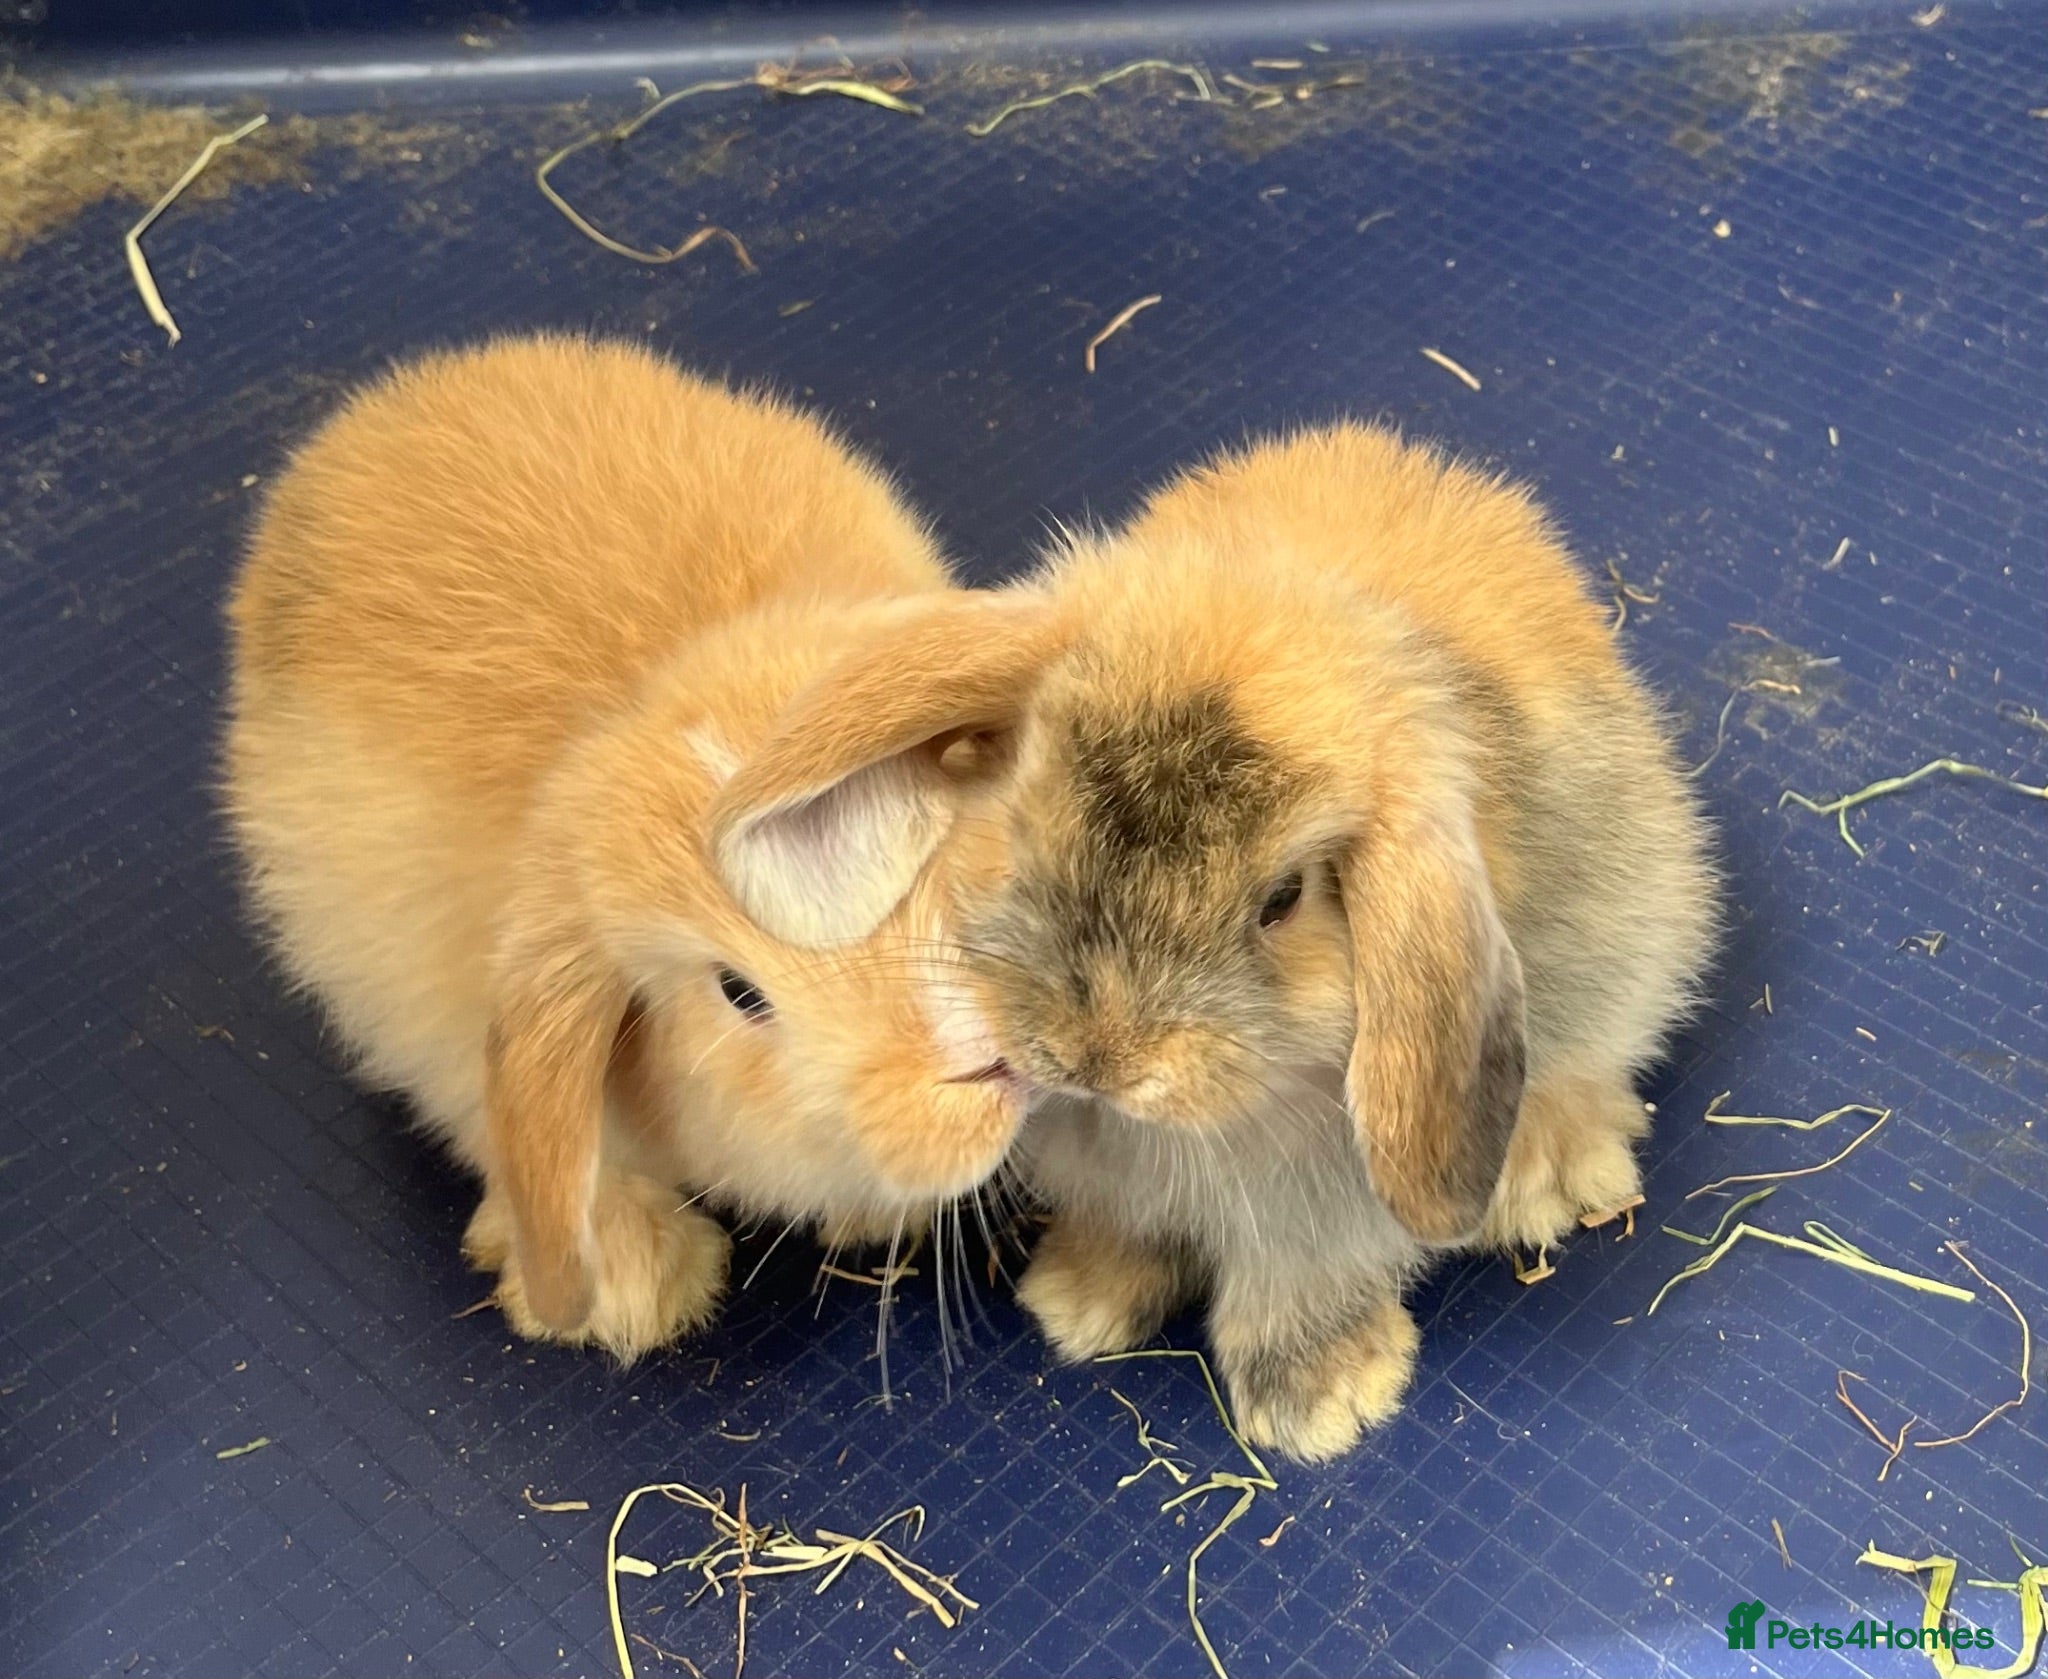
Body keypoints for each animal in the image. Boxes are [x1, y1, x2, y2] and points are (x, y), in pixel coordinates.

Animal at [735, 423, 1716, 1458]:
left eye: (1283, 898)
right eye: (1025, 813)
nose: (1098, 1058)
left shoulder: (1320, 1215)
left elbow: (1298, 1286)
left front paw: (1319, 1404)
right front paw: (1079, 1302)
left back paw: (1549, 1178)